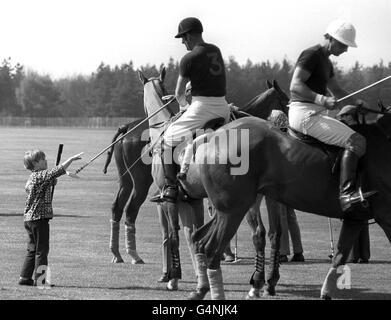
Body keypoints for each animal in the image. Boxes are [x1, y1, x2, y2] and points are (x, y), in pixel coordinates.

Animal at [191, 109, 391, 298]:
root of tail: (214, 137)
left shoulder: (355, 218)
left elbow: (338, 256)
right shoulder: (385, 215)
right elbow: (266, 234)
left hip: (230, 209)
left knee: (200, 241)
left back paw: (201, 289)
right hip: (233, 210)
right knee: (210, 248)